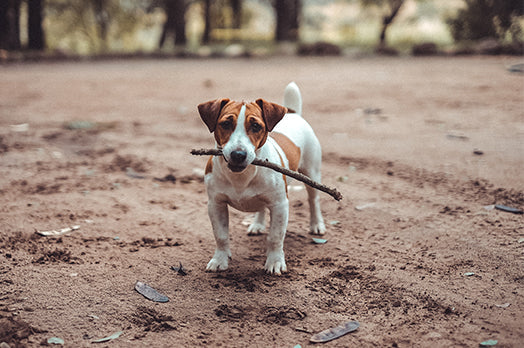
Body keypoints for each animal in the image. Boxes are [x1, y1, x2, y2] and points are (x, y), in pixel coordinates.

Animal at [199, 82, 326, 274]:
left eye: (256, 126)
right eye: (226, 124)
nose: (238, 155)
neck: (241, 177)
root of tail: (292, 113)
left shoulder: (280, 205)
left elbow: (275, 237)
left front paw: (275, 262)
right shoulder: (216, 204)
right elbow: (221, 236)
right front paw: (220, 259)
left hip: (311, 174)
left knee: (314, 200)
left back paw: (316, 224)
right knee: (261, 206)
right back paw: (257, 224)